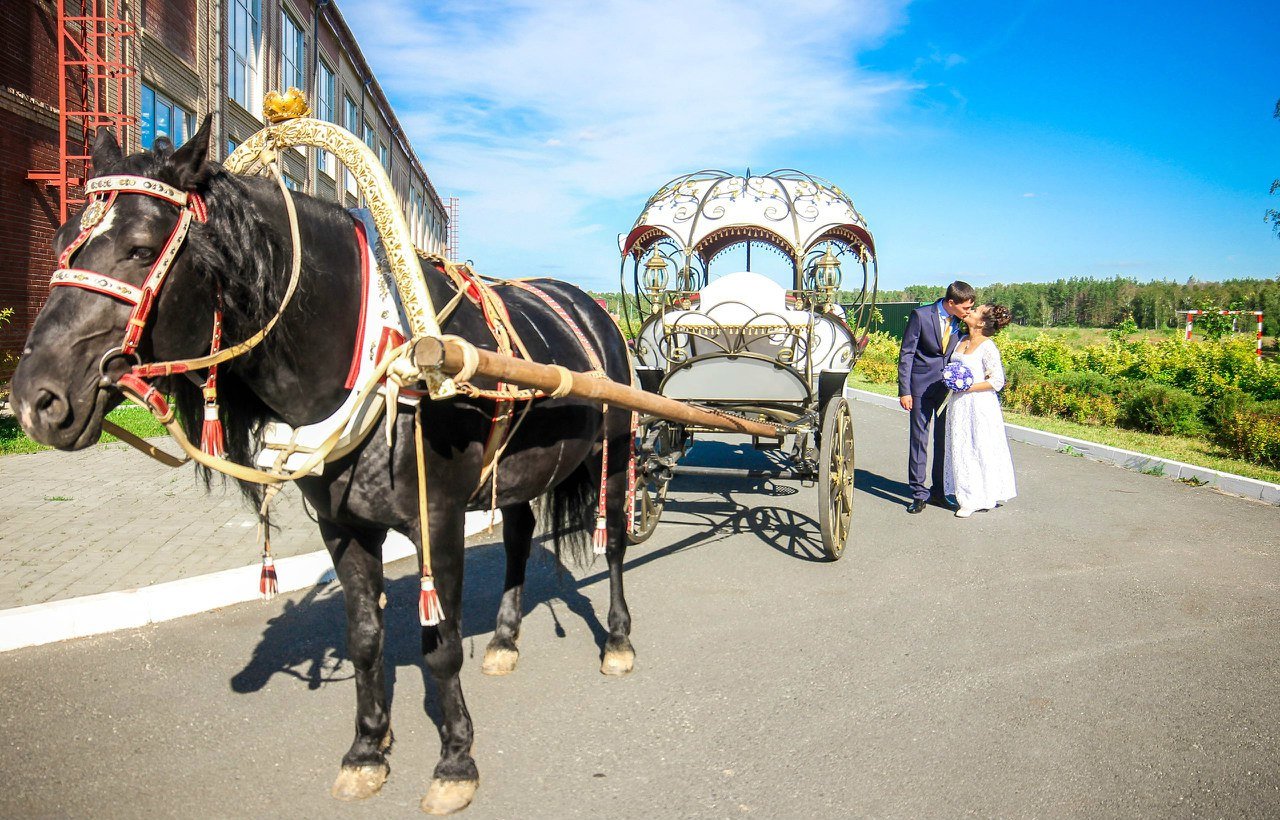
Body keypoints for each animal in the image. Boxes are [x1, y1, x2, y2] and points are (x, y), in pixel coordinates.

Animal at [11, 118, 640, 813]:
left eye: (142, 248)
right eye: (62, 242)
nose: (35, 399)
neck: (384, 356)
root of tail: (591, 308)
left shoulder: (439, 520)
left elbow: (441, 646)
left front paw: (455, 761)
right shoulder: (343, 527)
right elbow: (365, 637)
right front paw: (367, 750)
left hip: (616, 454)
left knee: (613, 546)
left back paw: (617, 640)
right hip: (519, 472)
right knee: (522, 536)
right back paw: (504, 640)